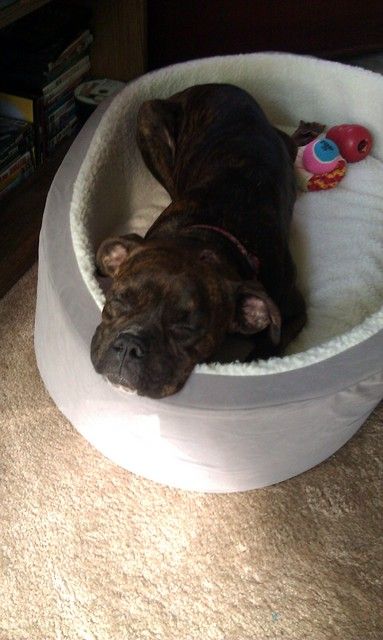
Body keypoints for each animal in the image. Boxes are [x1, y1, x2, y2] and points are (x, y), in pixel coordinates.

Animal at [91, 83, 308, 398]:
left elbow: (267, 348)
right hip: (148, 117)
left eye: (187, 328)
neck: (213, 231)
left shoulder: (292, 312)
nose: (130, 346)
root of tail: (213, 85)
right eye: (118, 298)